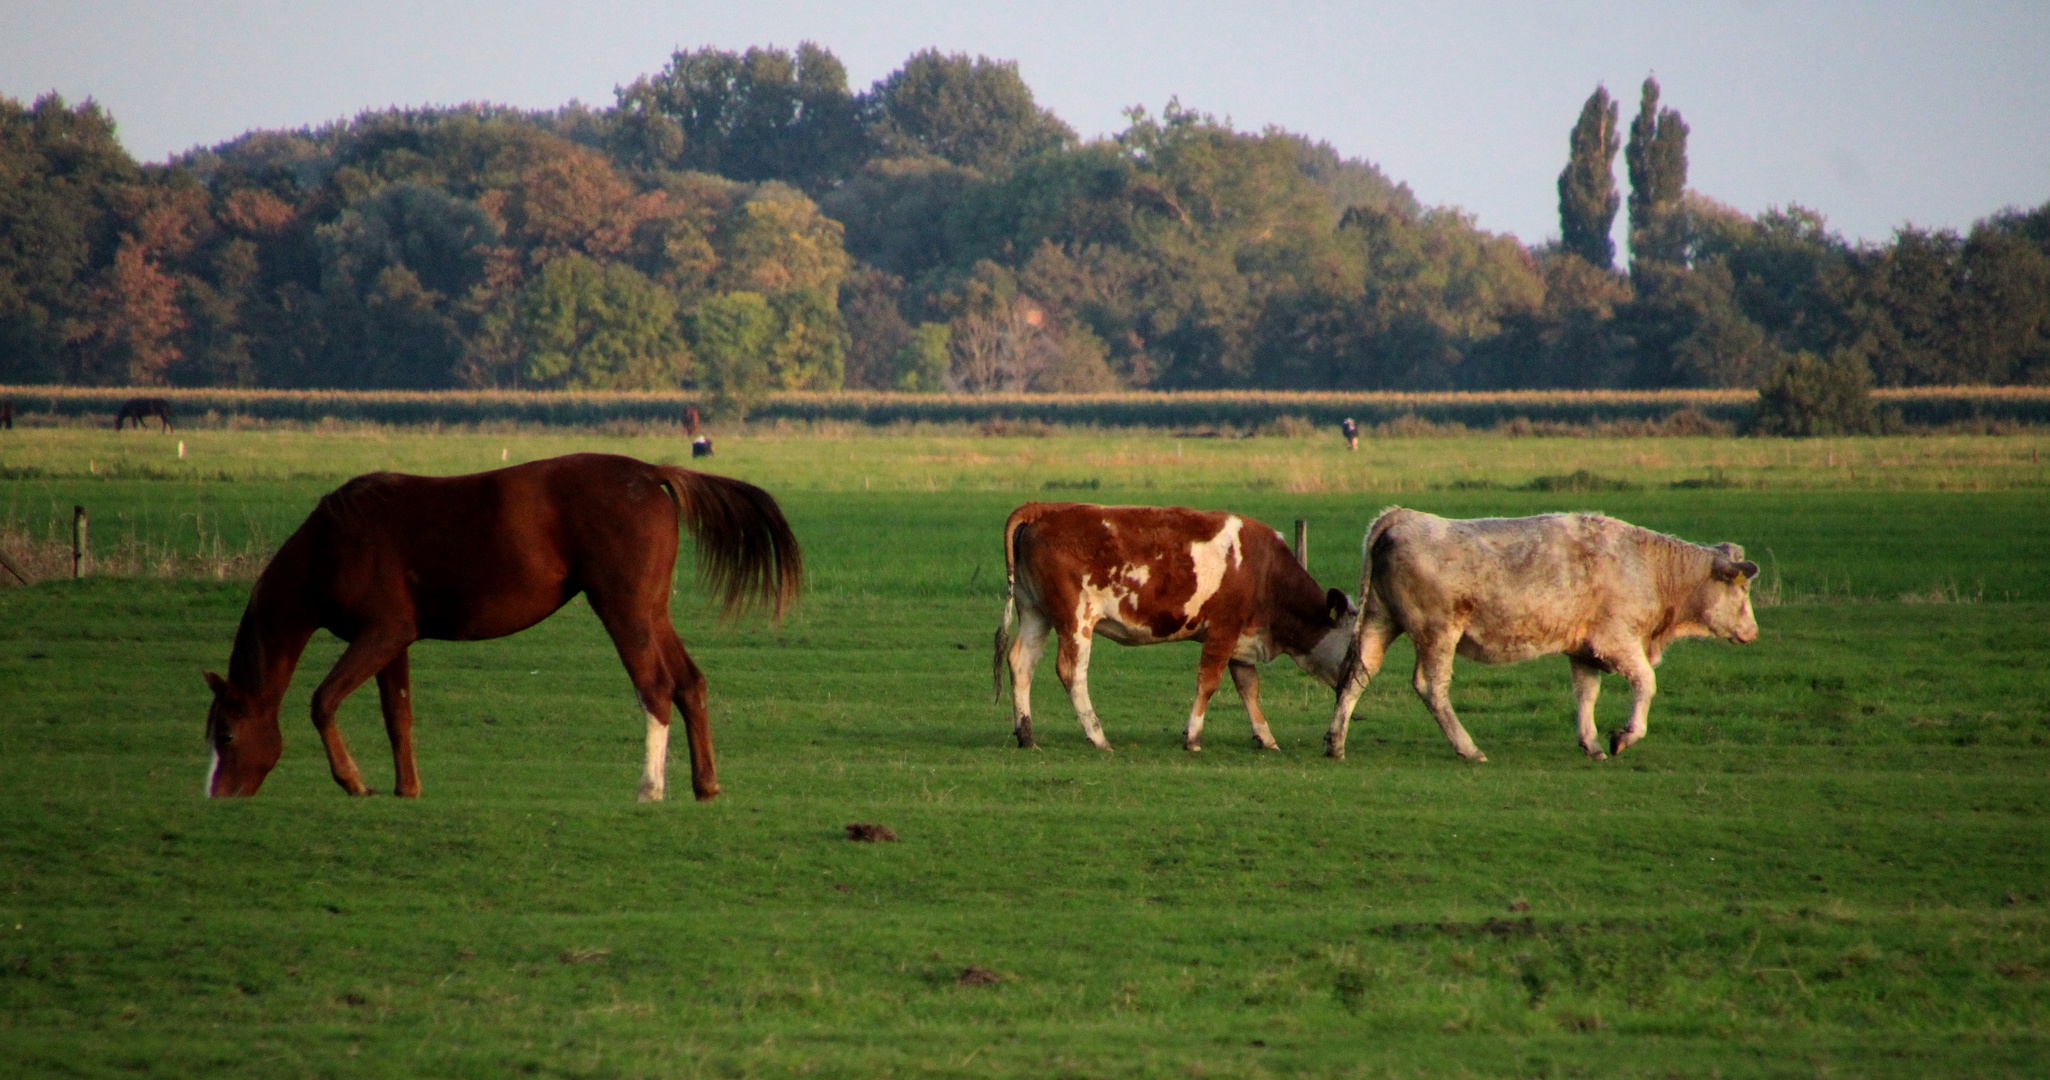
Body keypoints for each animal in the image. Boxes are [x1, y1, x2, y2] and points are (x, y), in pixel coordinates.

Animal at [203, 454, 799, 803]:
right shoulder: (394, 642)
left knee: (655, 689)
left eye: (226, 735)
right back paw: (705, 784)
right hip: (652, 612)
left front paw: (352, 780)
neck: (333, 542)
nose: (217, 796)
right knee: (689, 685)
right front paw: (406, 788)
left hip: (624, 611)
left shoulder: (381, 634)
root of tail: (650, 472)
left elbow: (323, 700)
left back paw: (649, 788)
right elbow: (398, 716)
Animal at [996, 504, 1361, 754]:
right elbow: (1208, 683)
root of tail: (1045, 509)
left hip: (1035, 613)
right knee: (1071, 672)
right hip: (1076, 620)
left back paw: (1026, 735)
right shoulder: (1222, 630)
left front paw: (1266, 737)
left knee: (1021, 664)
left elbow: (1249, 688)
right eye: (1352, 646)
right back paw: (1098, 737)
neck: (1265, 572)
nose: (1356, 681)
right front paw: (1193, 737)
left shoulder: (1240, 639)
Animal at [1328, 512, 1763, 766]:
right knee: (1431, 687)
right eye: (1742, 590)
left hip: (1380, 622)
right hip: (1438, 634)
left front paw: (1591, 742)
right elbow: (1646, 684)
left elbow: (1586, 695)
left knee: (1357, 677)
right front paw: (1625, 736)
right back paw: (1468, 748)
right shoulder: (1617, 640)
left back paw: (1335, 742)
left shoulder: (1585, 650)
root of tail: (1404, 517)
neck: (1647, 567)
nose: (1753, 632)